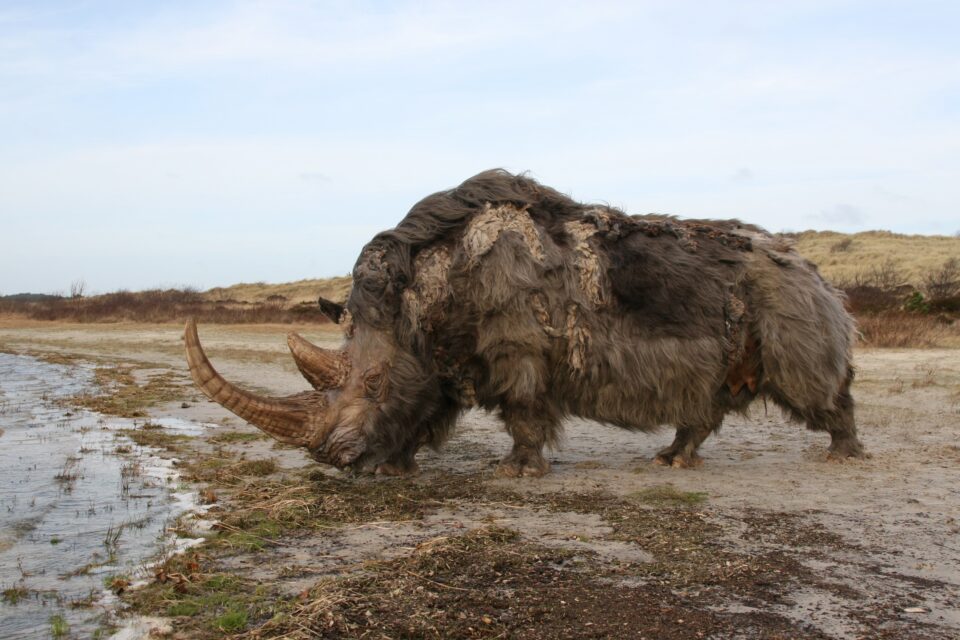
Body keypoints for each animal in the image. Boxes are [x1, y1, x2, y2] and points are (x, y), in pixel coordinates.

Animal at [185, 170, 865, 477]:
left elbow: (522, 409)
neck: (420, 296)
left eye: (374, 385)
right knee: (706, 395)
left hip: (788, 297)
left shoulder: (516, 346)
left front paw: (515, 471)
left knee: (809, 382)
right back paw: (671, 460)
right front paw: (399, 466)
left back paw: (841, 456)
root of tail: (819, 274)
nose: (335, 462)